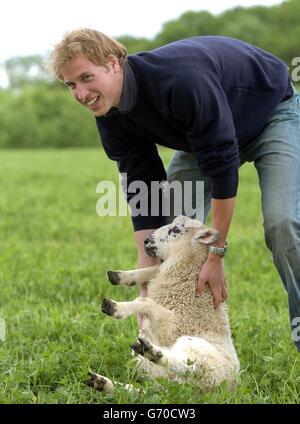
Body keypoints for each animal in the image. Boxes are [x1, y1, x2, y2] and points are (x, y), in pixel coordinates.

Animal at [85, 215, 240, 394]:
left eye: (175, 230)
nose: (146, 241)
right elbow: (153, 269)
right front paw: (119, 276)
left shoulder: (172, 326)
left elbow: (144, 301)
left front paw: (115, 307)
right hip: (158, 377)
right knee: (145, 393)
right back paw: (103, 383)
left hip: (200, 356)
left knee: (190, 367)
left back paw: (152, 352)